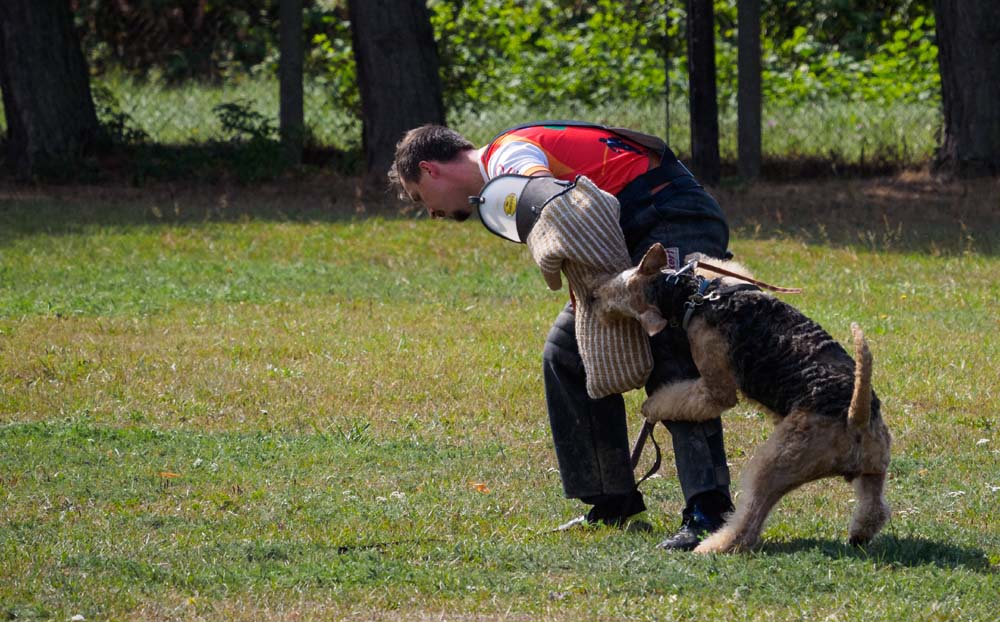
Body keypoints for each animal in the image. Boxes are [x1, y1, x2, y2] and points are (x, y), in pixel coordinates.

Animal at [592, 244, 892, 556]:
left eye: (614, 292)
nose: (592, 295)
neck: (689, 294)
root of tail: (854, 417)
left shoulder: (714, 387)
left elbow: (684, 397)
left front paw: (650, 406)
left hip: (775, 464)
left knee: (748, 521)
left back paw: (713, 545)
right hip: (874, 465)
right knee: (874, 507)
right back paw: (859, 535)